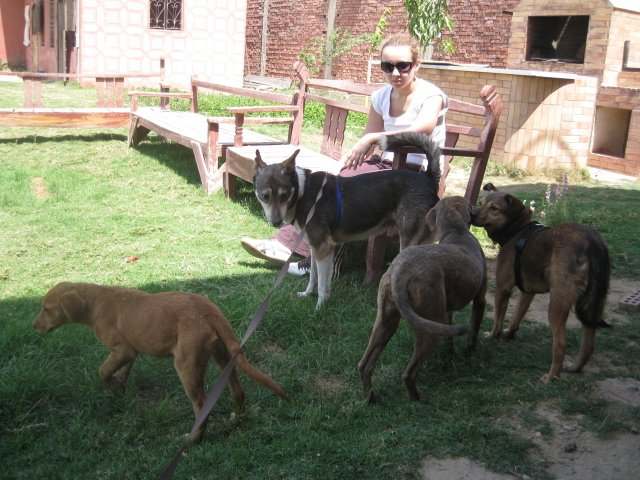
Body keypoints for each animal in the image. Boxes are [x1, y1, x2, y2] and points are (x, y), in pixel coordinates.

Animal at [33, 282, 287, 442]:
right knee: (238, 391)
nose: (34, 327)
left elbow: (102, 370)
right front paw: (118, 389)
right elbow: (121, 373)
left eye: (46, 309)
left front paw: (110, 386)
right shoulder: (130, 352)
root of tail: (207, 309)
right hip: (224, 356)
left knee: (202, 405)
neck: (96, 303)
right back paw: (237, 418)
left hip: (186, 365)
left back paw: (193, 439)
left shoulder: (122, 350)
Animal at [253, 132, 441, 309]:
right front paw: (307, 295)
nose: (276, 222)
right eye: (264, 196)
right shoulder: (316, 248)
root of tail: (428, 178)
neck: (302, 192)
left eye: (284, 195)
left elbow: (322, 285)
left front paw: (319, 308)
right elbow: (314, 277)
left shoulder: (323, 249)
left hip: (408, 243)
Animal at [357, 196, 487, 402]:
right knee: (408, 374)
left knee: (364, 365)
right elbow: (473, 330)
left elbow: (450, 339)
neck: (455, 231)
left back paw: (370, 397)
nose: (478, 209)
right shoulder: (480, 300)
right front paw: (469, 352)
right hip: (430, 327)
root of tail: (399, 272)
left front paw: (450, 354)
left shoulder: (448, 311)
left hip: (386, 322)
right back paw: (417, 398)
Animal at [471, 184, 610, 383]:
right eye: (481, 202)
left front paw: (492, 336)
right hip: (594, 303)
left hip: (558, 303)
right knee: (589, 342)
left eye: (494, 208)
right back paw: (575, 368)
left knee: (560, 343)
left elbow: (498, 318)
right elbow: (517, 316)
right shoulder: (528, 292)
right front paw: (509, 335)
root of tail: (593, 244)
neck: (517, 231)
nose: (471, 213)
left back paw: (551, 377)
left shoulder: (502, 288)